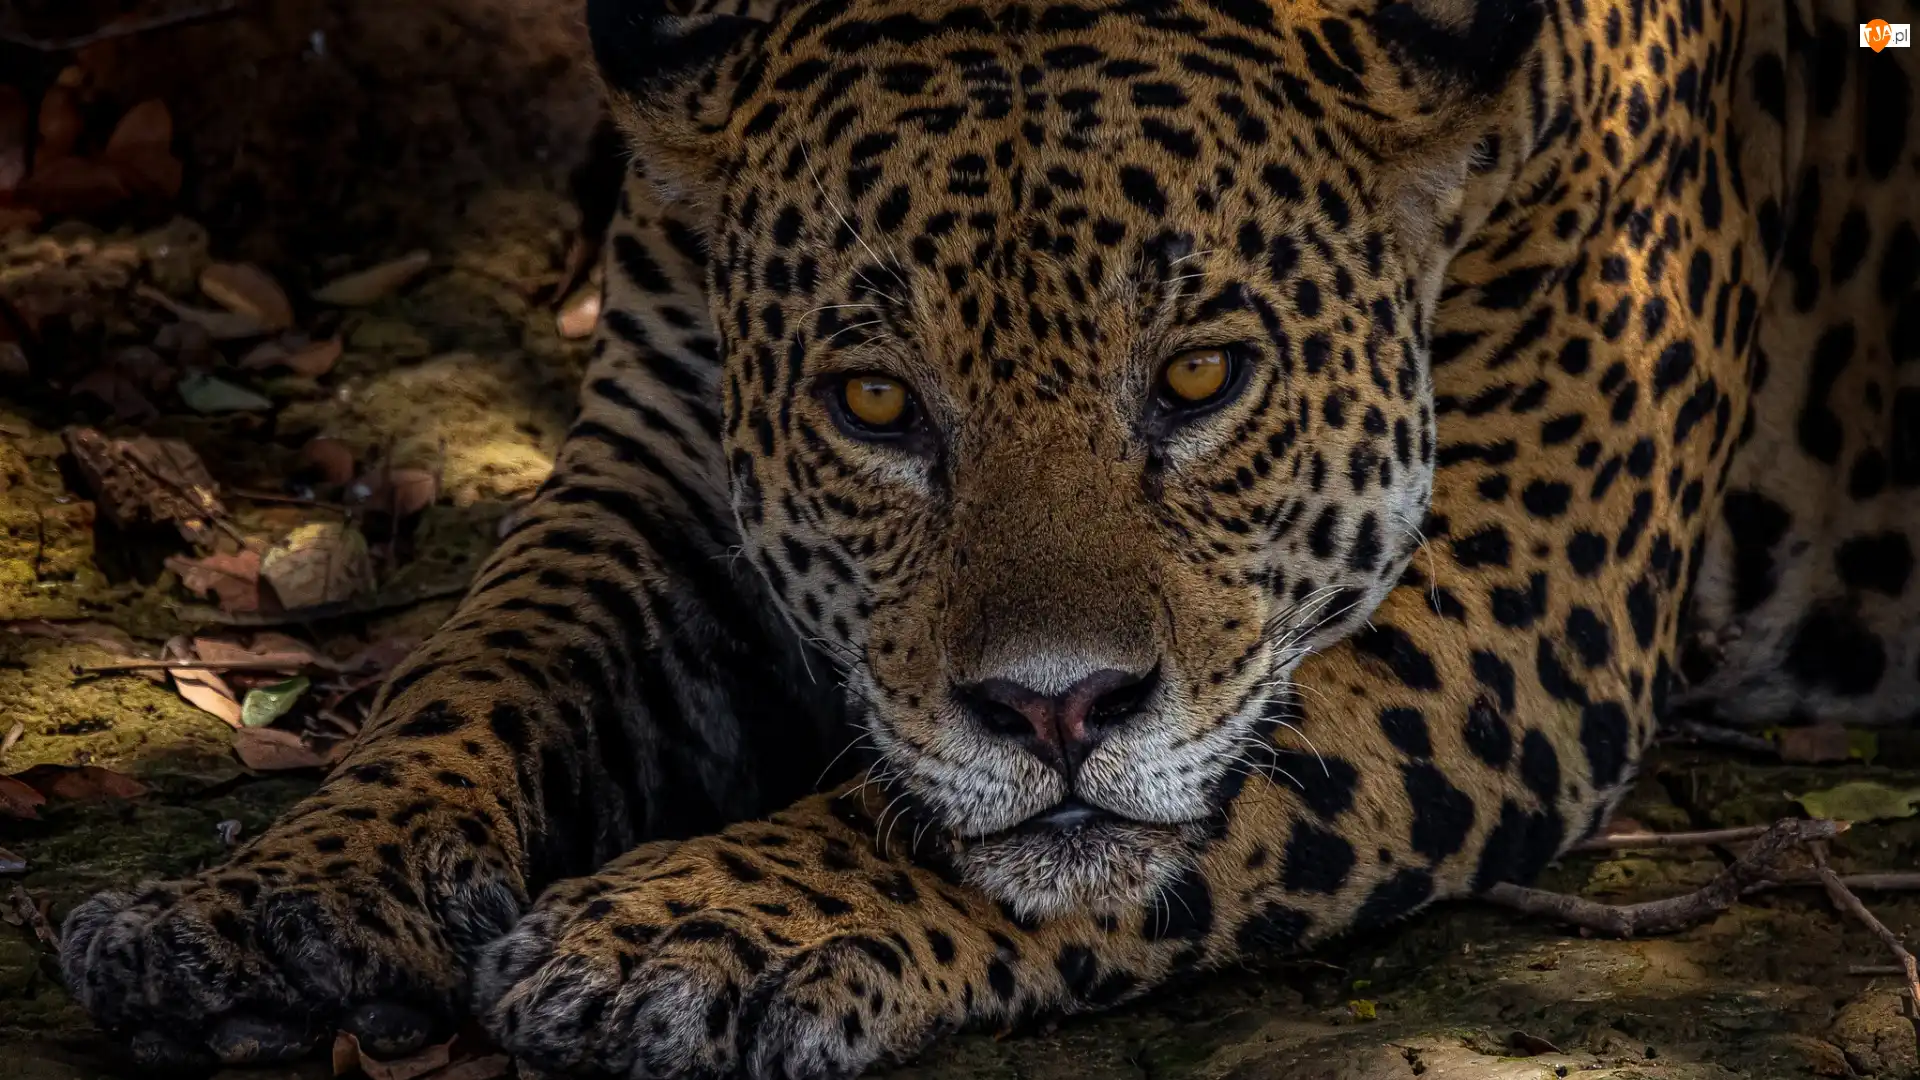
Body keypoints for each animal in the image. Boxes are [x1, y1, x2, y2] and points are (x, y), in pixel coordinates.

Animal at [57, 0, 1920, 1076]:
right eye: (877, 405)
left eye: (1202, 375)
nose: (1055, 710)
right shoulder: (656, 464)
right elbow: (474, 675)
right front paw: (263, 898)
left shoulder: (1519, 593)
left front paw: (704, 927)